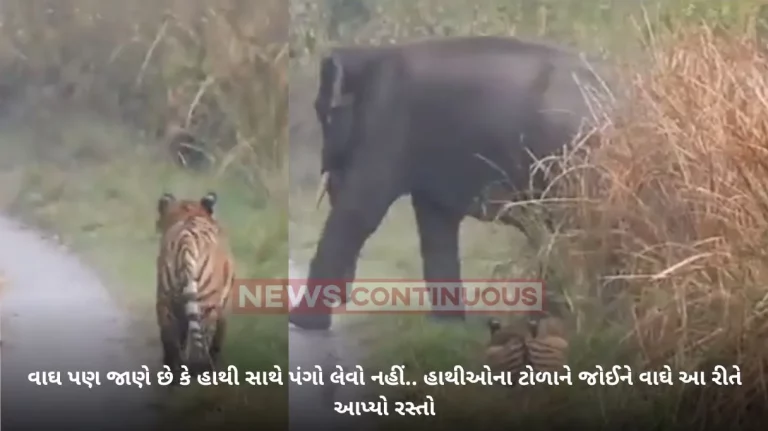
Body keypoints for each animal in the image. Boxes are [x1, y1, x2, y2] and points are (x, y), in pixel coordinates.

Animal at [155, 191, 235, 379]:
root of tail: (186, 240)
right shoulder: (224, 310)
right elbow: (217, 339)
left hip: (165, 301)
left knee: (170, 343)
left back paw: (173, 378)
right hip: (206, 305)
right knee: (201, 344)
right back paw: (201, 372)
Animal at [290, 36, 614, 330]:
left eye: (322, 113)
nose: (344, 299)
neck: (368, 54)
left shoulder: (386, 119)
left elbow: (360, 210)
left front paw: (299, 323)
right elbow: (435, 224)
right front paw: (447, 326)